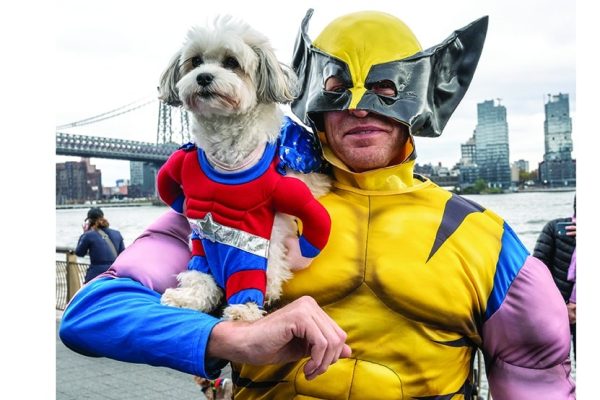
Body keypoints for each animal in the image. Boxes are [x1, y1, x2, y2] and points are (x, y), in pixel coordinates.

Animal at [157, 16, 330, 322]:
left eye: (231, 62)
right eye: (196, 61)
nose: (204, 77)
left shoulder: (270, 221)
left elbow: (260, 259)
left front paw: (249, 304)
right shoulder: (200, 233)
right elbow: (199, 272)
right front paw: (189, 298)